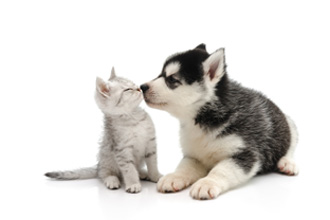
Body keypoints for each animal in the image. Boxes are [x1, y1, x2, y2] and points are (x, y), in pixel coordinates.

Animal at [141, 43, 298, 200]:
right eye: (160, 74)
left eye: (172, 79)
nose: (142, 87)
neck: (203, 118)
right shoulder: (194, 155)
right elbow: (184, 166)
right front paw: (174, 177)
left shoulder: (246, 153)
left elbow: (221, 170)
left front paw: (207, 183)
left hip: (290, 125)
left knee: (290, 146)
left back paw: (287, 163)